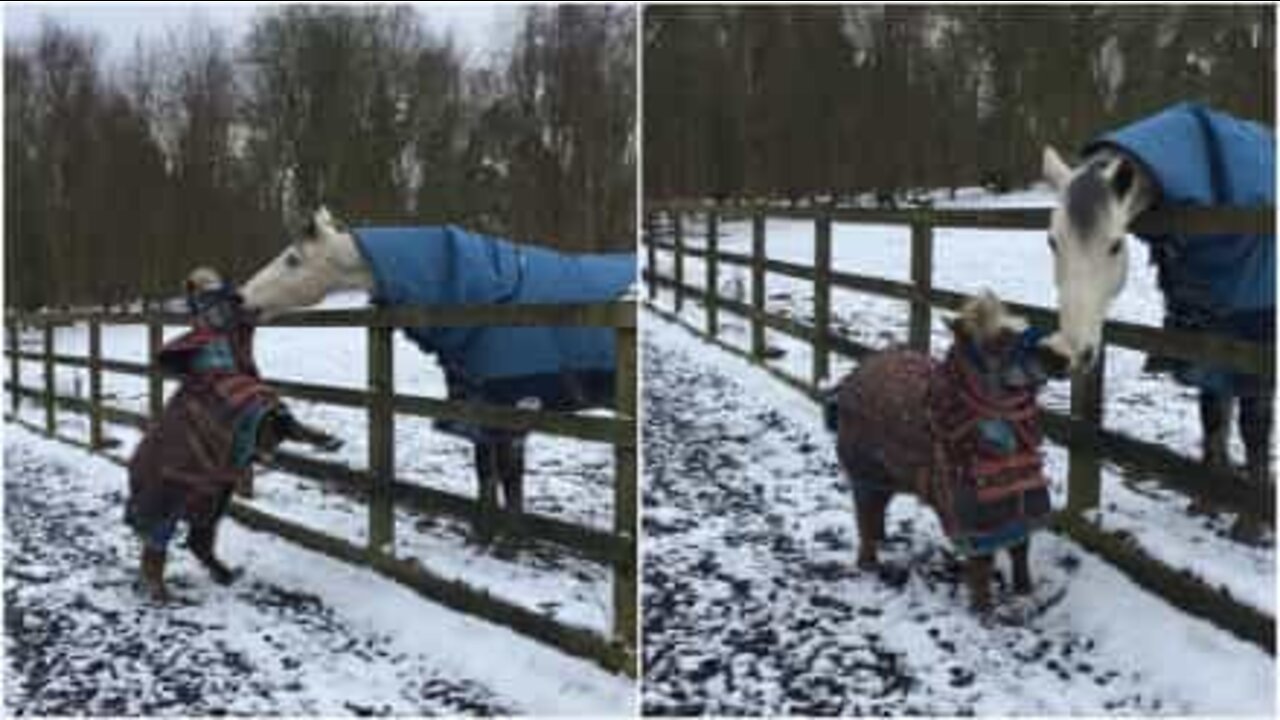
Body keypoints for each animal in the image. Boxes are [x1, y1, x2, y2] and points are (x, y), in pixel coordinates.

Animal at [829, 288, 1059, 607]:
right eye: (993, 342)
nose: (1055, 360)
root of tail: (859, 371)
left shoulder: (1016, 512)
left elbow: (1020, 550)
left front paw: (1024, 592)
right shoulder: (972, 521)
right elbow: (982, 565)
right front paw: (982, 609)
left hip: (888, 474)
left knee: (877, 508)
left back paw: (882, 540)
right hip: (864, 470)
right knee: (864, 513)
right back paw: (869, 562)